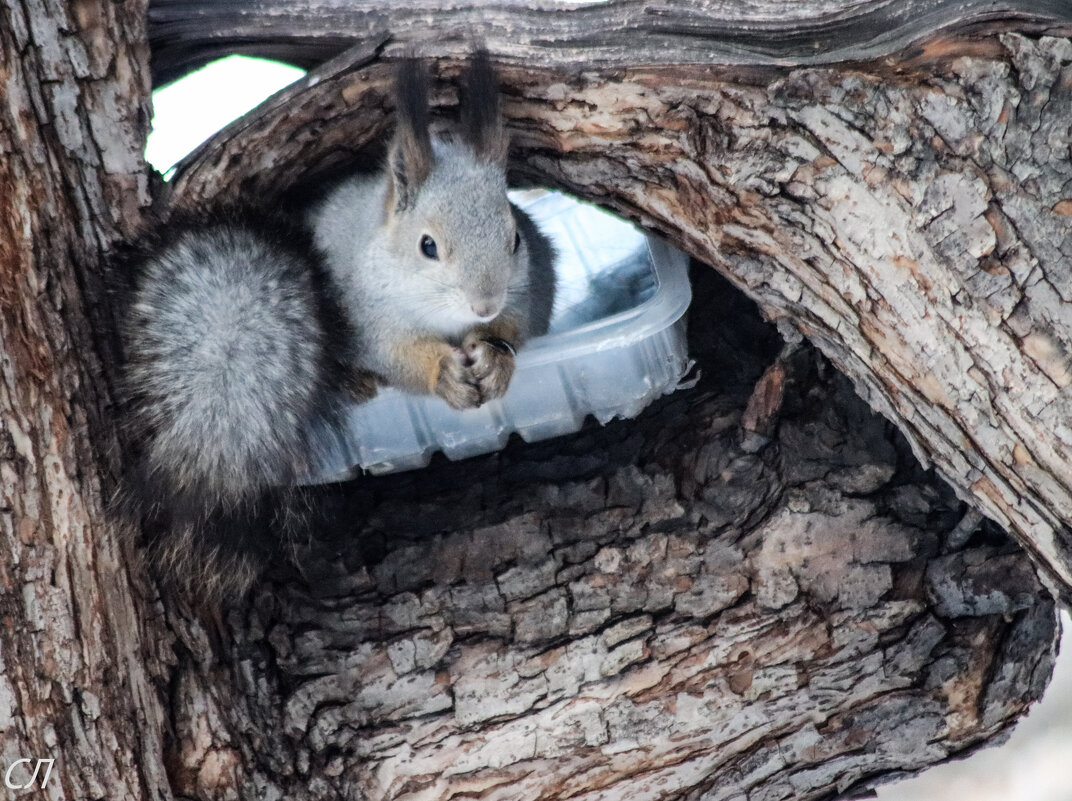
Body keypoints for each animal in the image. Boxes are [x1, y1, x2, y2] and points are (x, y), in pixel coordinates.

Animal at [117, 51, 557, 600]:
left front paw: (495, 357)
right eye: (427, 246)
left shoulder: (533, 288)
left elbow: (519, 324)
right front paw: (444, 374)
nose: (485, 304)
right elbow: (397, 354)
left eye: (516, 238)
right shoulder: (365, 317)